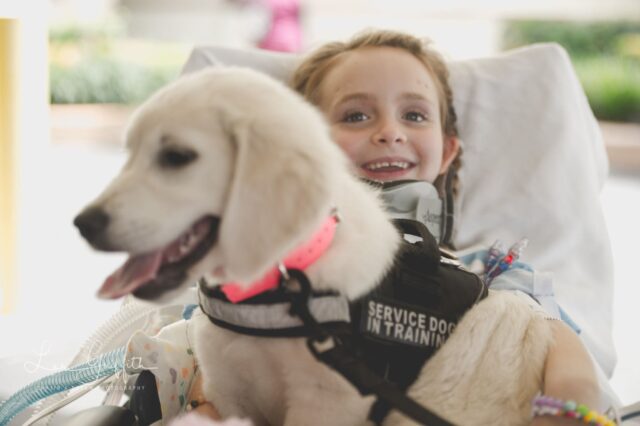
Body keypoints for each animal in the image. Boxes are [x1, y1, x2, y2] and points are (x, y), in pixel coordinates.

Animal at [75, 68, 552, 424]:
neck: (284, 282)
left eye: (176, 156)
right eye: (129, 154)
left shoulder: (326, 403)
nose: (82, 224)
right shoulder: (230, 391)